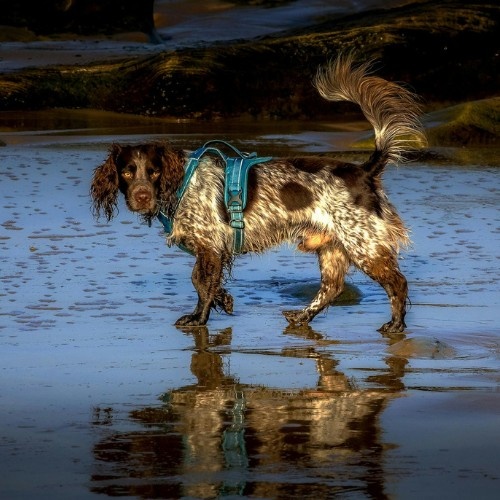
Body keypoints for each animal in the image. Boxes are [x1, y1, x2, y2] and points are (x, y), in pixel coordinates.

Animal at [91, 54, 426, 332]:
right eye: (127, 172)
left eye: (154, 171)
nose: (142, 196)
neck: (181, 183)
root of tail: (366, 170)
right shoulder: (215, 249)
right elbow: (208, 283)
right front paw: (222, 300)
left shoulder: (210, 245)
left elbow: (200, 282)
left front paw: (200, 319)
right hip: (332, 246)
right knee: (332, 288)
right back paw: (301, 317)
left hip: (364, 244)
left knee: (398, 283)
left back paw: (396, 325)